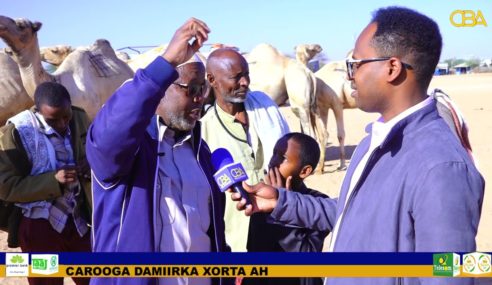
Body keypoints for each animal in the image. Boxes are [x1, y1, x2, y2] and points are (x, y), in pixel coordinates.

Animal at [248, 43, 344, 172]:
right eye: (309, 48)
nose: (318, 46)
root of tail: (310, 74)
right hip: (314, 107)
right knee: (322, 134)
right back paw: (320, 167)